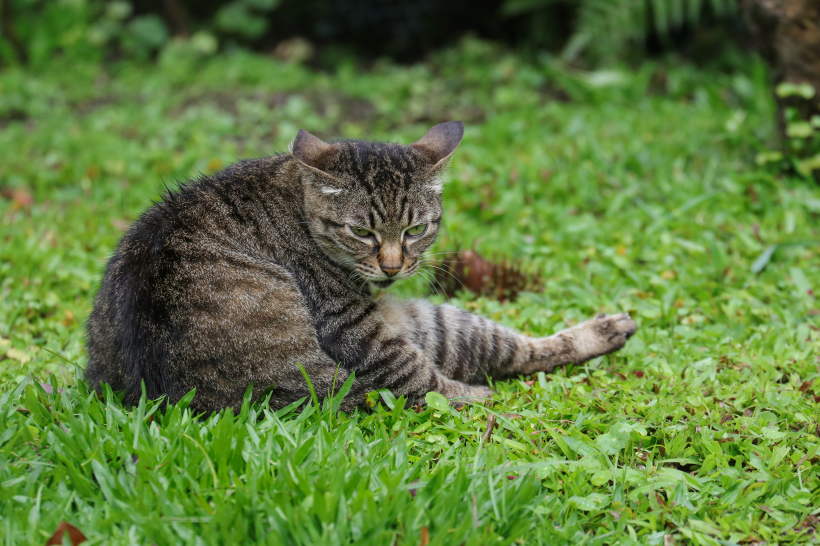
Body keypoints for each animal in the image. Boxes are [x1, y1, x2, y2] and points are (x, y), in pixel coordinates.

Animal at [85, 121, 636, 410]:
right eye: (363, 232)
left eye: (415, 230)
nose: (392, 267)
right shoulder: (349, 326)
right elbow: (421, 380)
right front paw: (475, 398)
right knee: (436, 377)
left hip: (427, 318)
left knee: (510, 349)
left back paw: (607, 330)